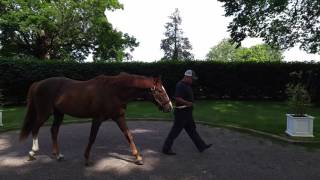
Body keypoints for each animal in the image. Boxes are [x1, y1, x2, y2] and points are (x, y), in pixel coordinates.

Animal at [19, 72, 172, 165]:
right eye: (160, 91)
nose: (169, 107)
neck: (114, 91)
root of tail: (38, 83)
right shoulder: (97, 119)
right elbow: (92, 137)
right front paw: (87, 158)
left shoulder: (119, 117)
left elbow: (128, 135)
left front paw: (138, 157)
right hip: (44, 113)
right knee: (35, 128)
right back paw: (32, 153)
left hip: (58, 114)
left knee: (54, 130)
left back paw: (57, 155)